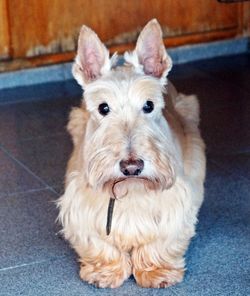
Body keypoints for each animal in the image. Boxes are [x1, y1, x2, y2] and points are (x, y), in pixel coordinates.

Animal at [57, 19, 206, 288]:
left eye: (149, 105)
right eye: (103, 108)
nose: (132, 167)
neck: (130, 190)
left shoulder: (176, 201)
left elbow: (162, 241)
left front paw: (157, 271)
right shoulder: (80, 206)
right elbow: (99, 243)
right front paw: (105, 271)